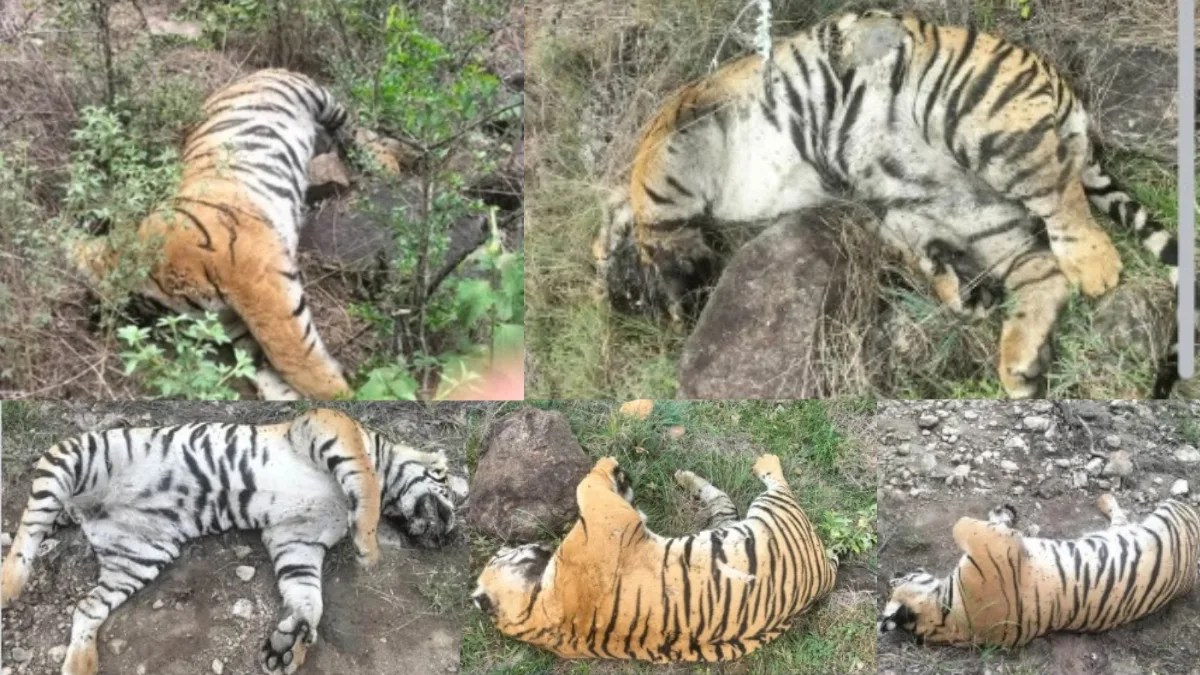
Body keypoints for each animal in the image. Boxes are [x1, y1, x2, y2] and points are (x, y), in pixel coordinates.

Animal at [0, 408, 457, 675]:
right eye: (449, 484)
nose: (450, 535)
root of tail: (85, 510)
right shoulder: (326, 425)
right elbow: (364, 481)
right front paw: (368, 547)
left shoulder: (297, 540)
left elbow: (308, 596)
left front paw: (290, 647)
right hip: (79, 455)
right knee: (30, 525)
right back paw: (9, 585)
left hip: (137, 556)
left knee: (86, 607)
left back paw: (80, 665)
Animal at [72, 69, 353, 400]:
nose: (95, 321)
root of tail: (250, 74)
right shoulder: (232, 318)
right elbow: (256, 362)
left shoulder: (257, 281)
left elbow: (290, 352)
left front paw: (340, 394)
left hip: (315, 96)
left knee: (353, 125)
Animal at [471, 454, 837, 662]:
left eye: (501, 552)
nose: (533, 544)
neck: (536, 615)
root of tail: (823, 575)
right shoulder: (610, 519)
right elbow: (587, 485)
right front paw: (608, 464)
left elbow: (597, 488)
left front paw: (619, 476)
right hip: (773, 512)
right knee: (777, 484)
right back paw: (764, 459)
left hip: (731, 525)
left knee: (722, 502)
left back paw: (684, 476)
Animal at [594, 9, 1180, 398]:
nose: (616, 306)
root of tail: (1059, 81)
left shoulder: (678, 123)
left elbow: (648, 193)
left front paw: (665, 274)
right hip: (960, 206)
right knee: (1040, 272)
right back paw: (1016, 360)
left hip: (977, 119)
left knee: (1061, 194)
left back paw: (1094, 266)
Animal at [879, 495, 1200, 647]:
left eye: (899, 579)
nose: (895, 572)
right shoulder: (994, 545)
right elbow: (963, 523)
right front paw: (1003, 517)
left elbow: (969, 524)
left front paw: (1004, 514)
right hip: (1169, 511)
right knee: (1124, 519)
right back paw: (1106, 498)